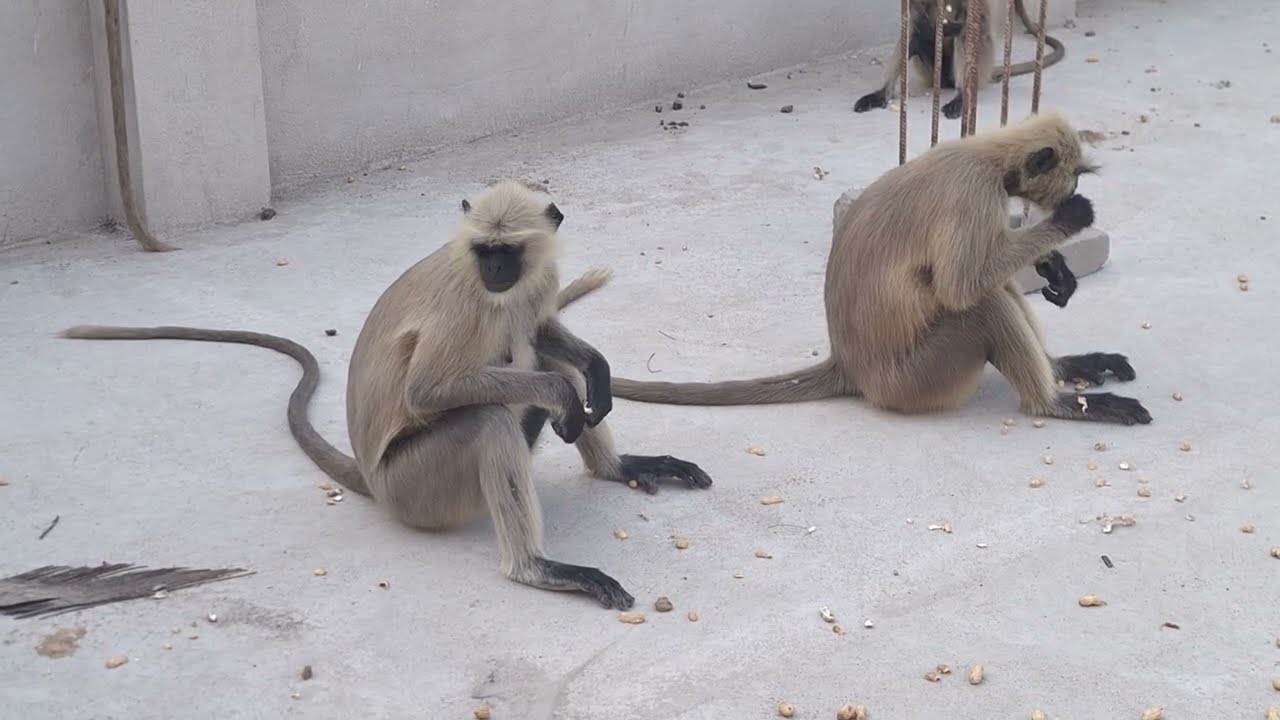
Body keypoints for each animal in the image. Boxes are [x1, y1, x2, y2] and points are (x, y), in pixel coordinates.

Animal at [58, 180, 712, 610]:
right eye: (486, 252)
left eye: (508, 251)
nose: (497, 274)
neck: (493, 281)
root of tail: (374, 480)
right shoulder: (469, 300)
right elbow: (429, 391)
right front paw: (560, 391)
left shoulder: (534, 279)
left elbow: (551, 338)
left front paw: (596, 369)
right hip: (417, 486)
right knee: (493, 417)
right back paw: (534, 568)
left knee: (534, 353)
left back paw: (615, 466)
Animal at [599, 112, 1152, 426]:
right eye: (1073, 176)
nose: (1070, 191)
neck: (986, 155)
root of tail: (851, 366)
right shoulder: (973, 190)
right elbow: (961, 286)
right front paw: (1068, 221)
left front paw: (1055, 266)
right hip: (918, 379)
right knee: (980, 303)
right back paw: (1051, 401)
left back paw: (1062, 369)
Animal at [853, 0, 1066, 120]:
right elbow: (915, 21)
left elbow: (976, 22)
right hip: (930, 70)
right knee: (913, 35)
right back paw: (882, 93)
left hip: (980, 62)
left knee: (966, 35)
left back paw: (962, 96)